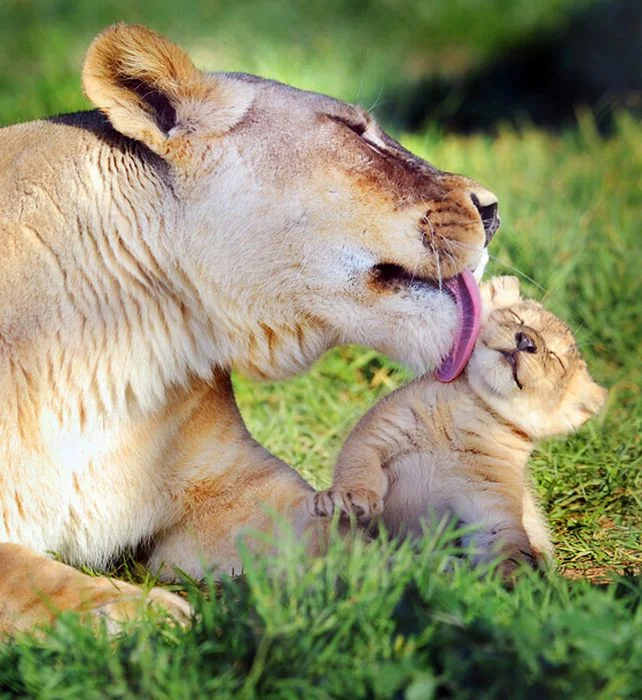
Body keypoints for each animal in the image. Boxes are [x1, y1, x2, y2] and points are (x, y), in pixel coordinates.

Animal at [0, 23, 499, 635]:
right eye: (356, 133)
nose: (494, 209)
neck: (110, 347)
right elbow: (30, 578)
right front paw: (138, 613)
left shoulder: (233, 486)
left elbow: (338, 536)